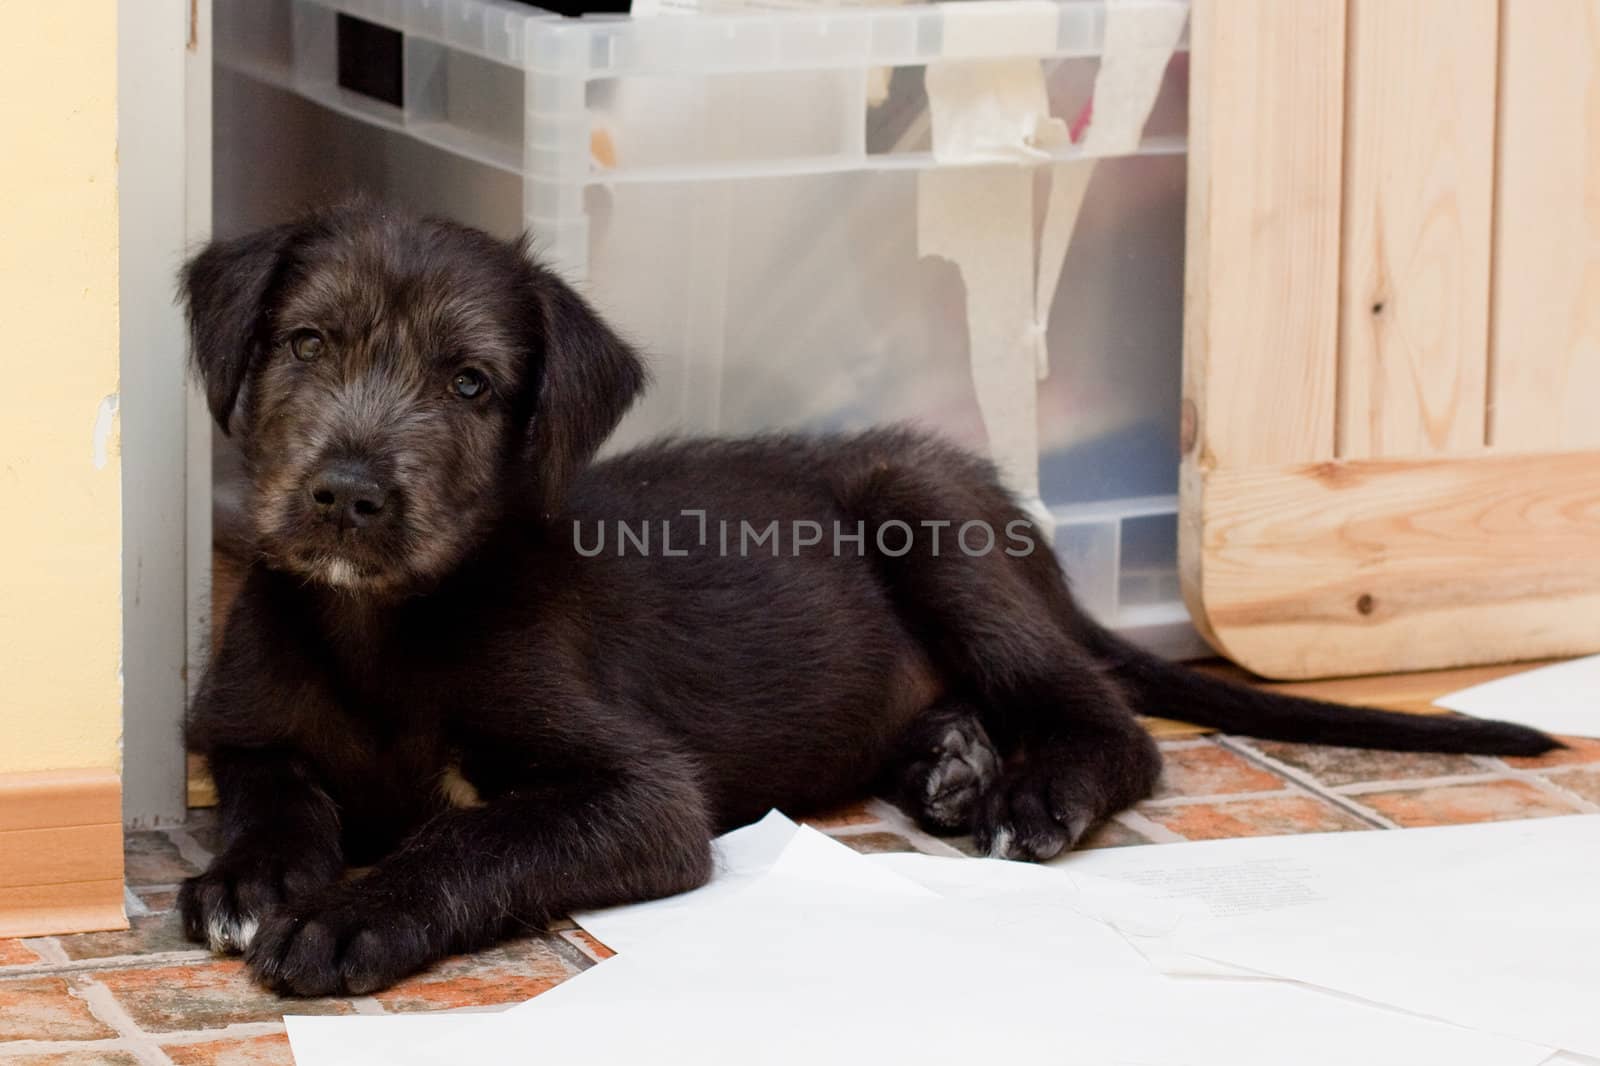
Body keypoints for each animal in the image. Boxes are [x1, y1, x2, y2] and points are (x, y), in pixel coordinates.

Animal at [175, 203, 1548, 992]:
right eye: (306, 342)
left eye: (469, 383)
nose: (348, 494)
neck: (381, 625)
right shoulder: (242, 731)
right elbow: (275, 793)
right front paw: (255, 879)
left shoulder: (642, 798)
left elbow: (470, 835)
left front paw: (352, 915)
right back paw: (949, 758)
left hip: (930, 517)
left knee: (1113, 724)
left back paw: (1028, 788)